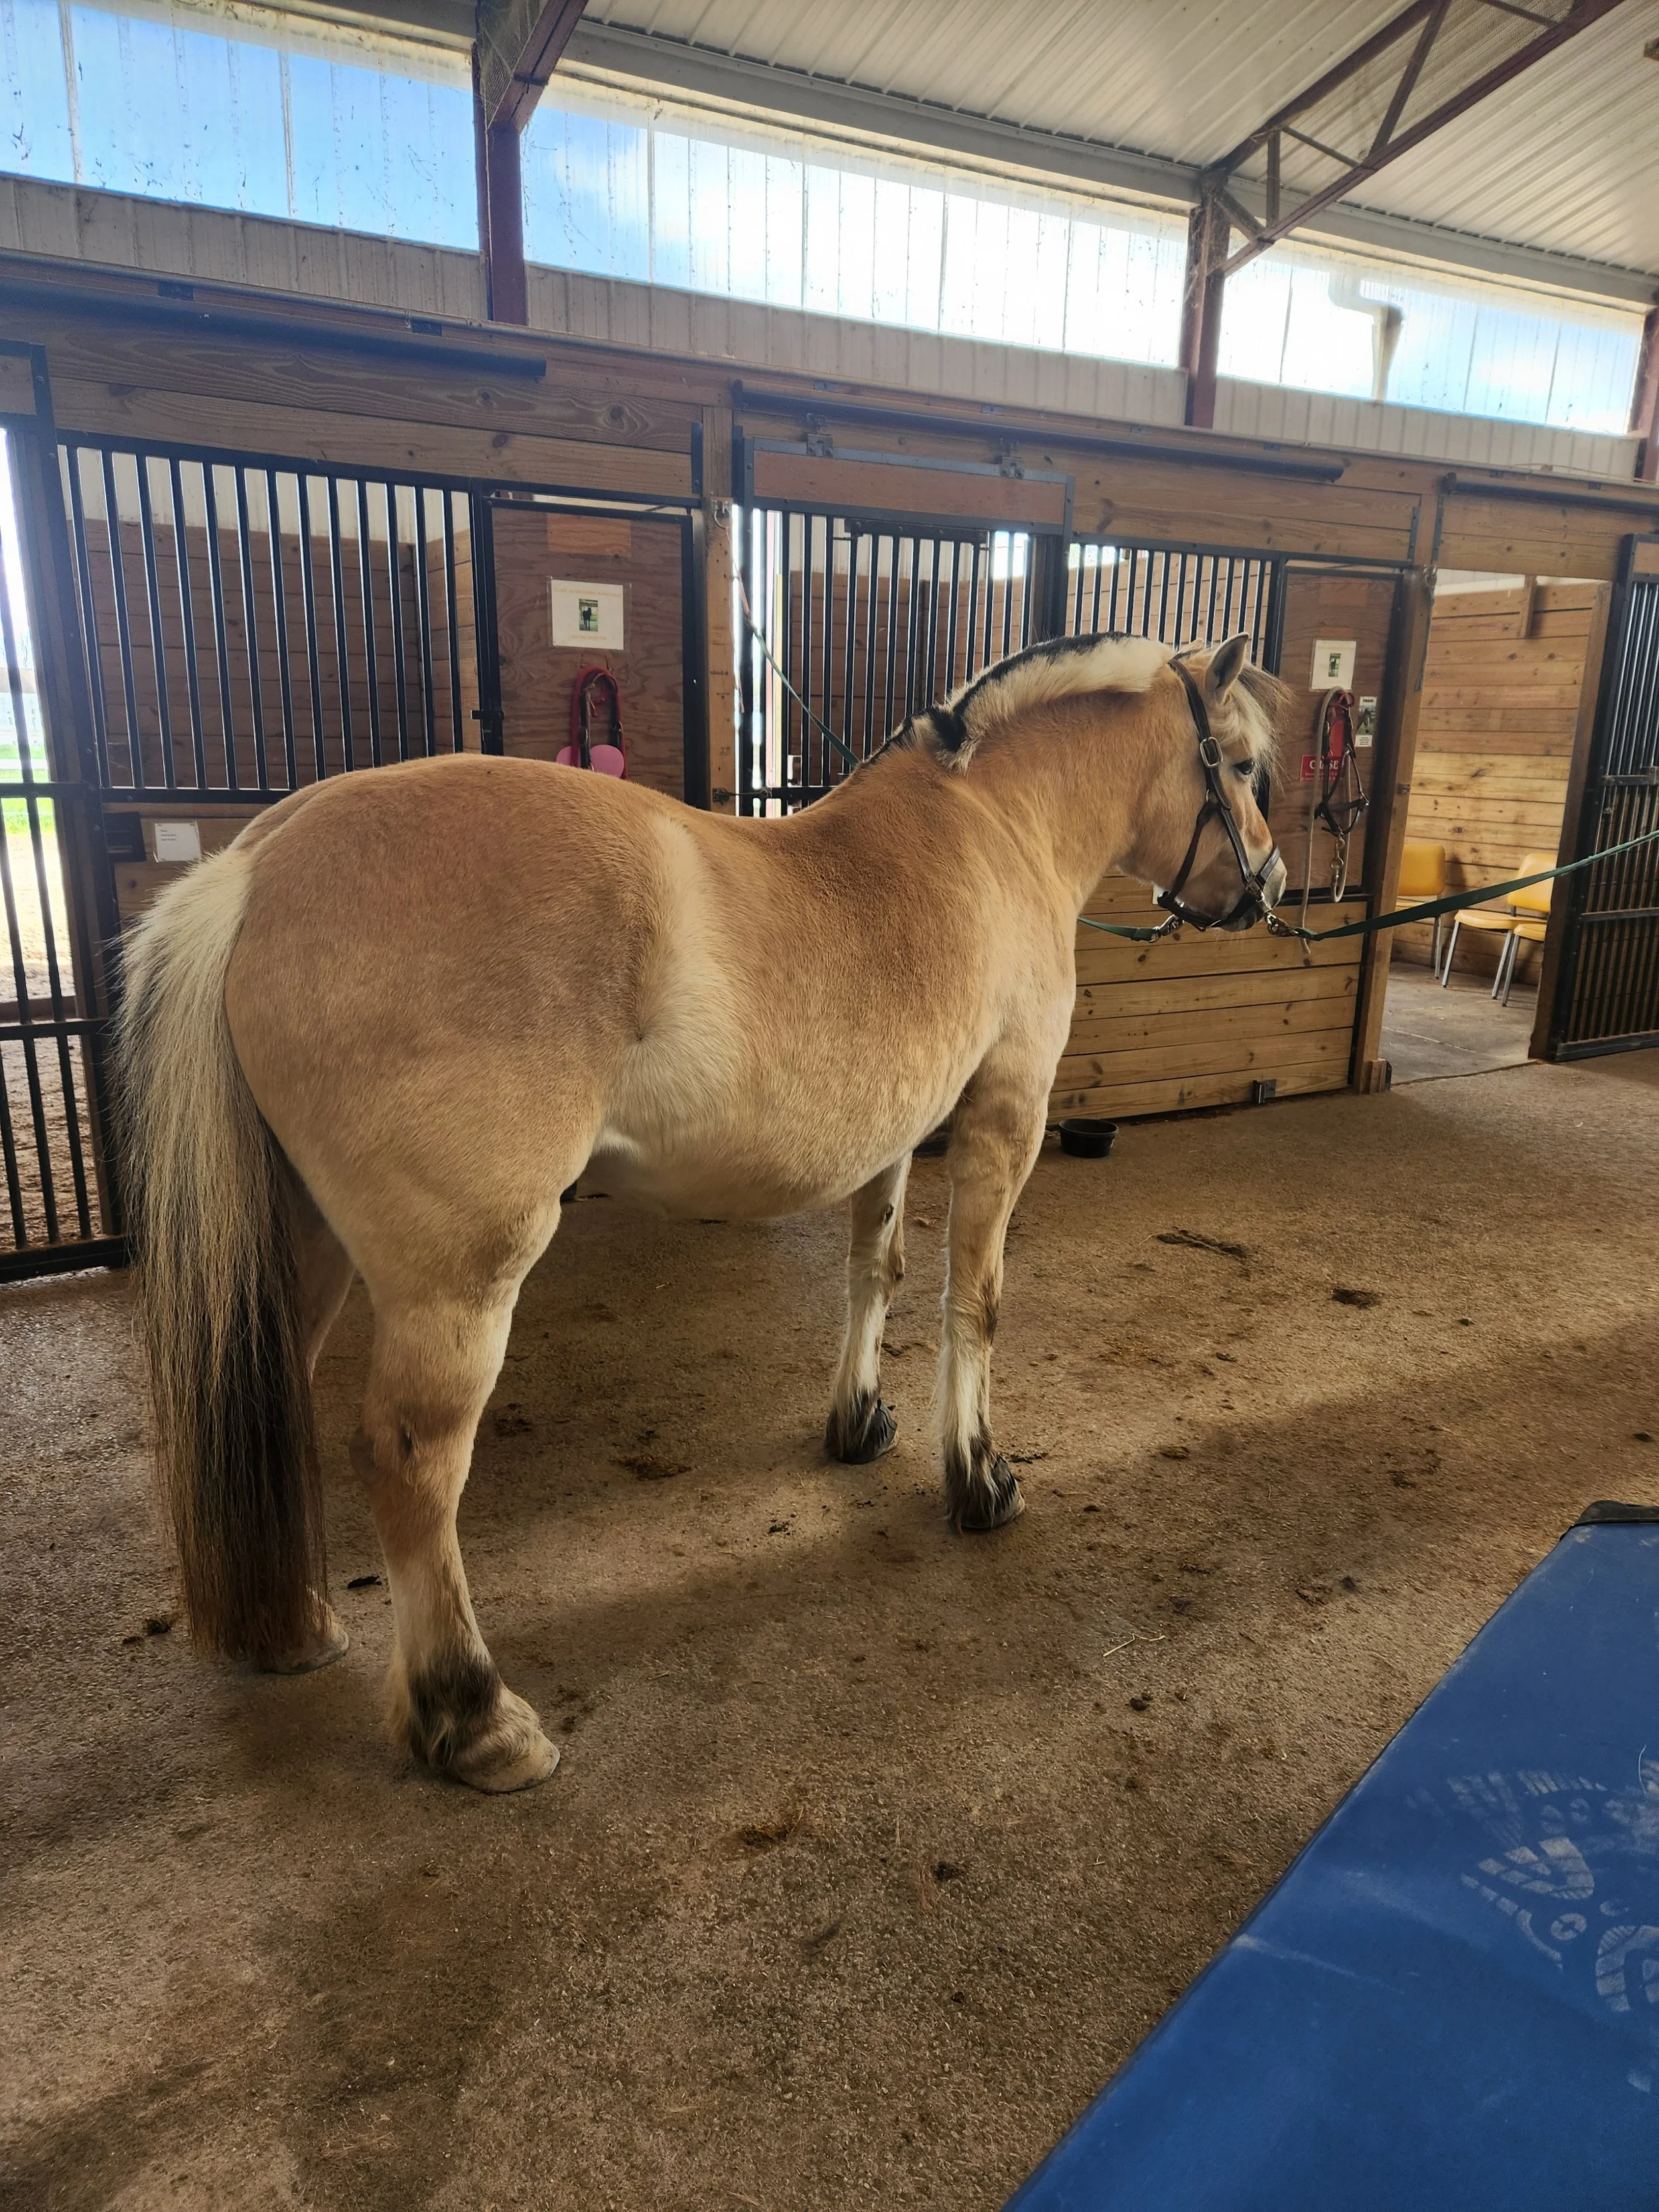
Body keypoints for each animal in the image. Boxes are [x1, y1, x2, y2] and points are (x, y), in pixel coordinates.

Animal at [116, 630, 1290, 1792]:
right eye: (1237, 764)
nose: (1270, 881)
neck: (992, 825)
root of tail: (257, 868)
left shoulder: (893, 1132)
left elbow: (876, 1273)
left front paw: (860, 1423)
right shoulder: (1004, 1113)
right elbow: (977, 1300)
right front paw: (980, 1479)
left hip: (302, 1249)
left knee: (277, 1394)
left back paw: (296, 1627)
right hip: (459, 1275)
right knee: (412, 1464)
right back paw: (474, 1717)